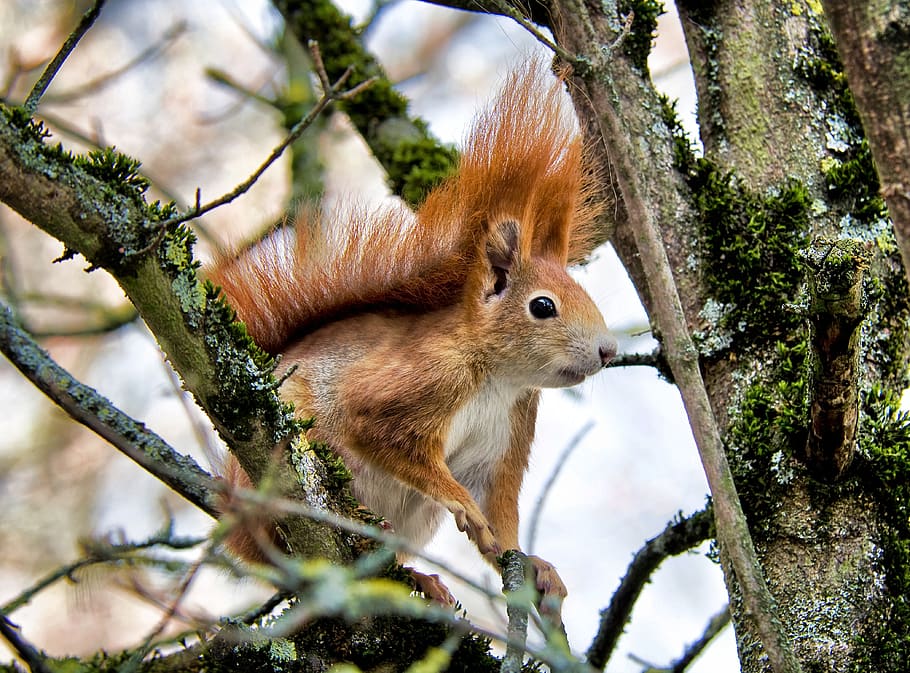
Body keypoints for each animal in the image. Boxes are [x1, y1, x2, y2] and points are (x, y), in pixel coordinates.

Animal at [208, 61, 620, 620]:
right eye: (542, 306)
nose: (608, 351)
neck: (497, 379)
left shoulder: (508, 432)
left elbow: (497, 510)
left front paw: (532, 564)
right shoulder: (415, 381)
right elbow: (384, 436)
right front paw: (458, 501)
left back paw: (419, 578)